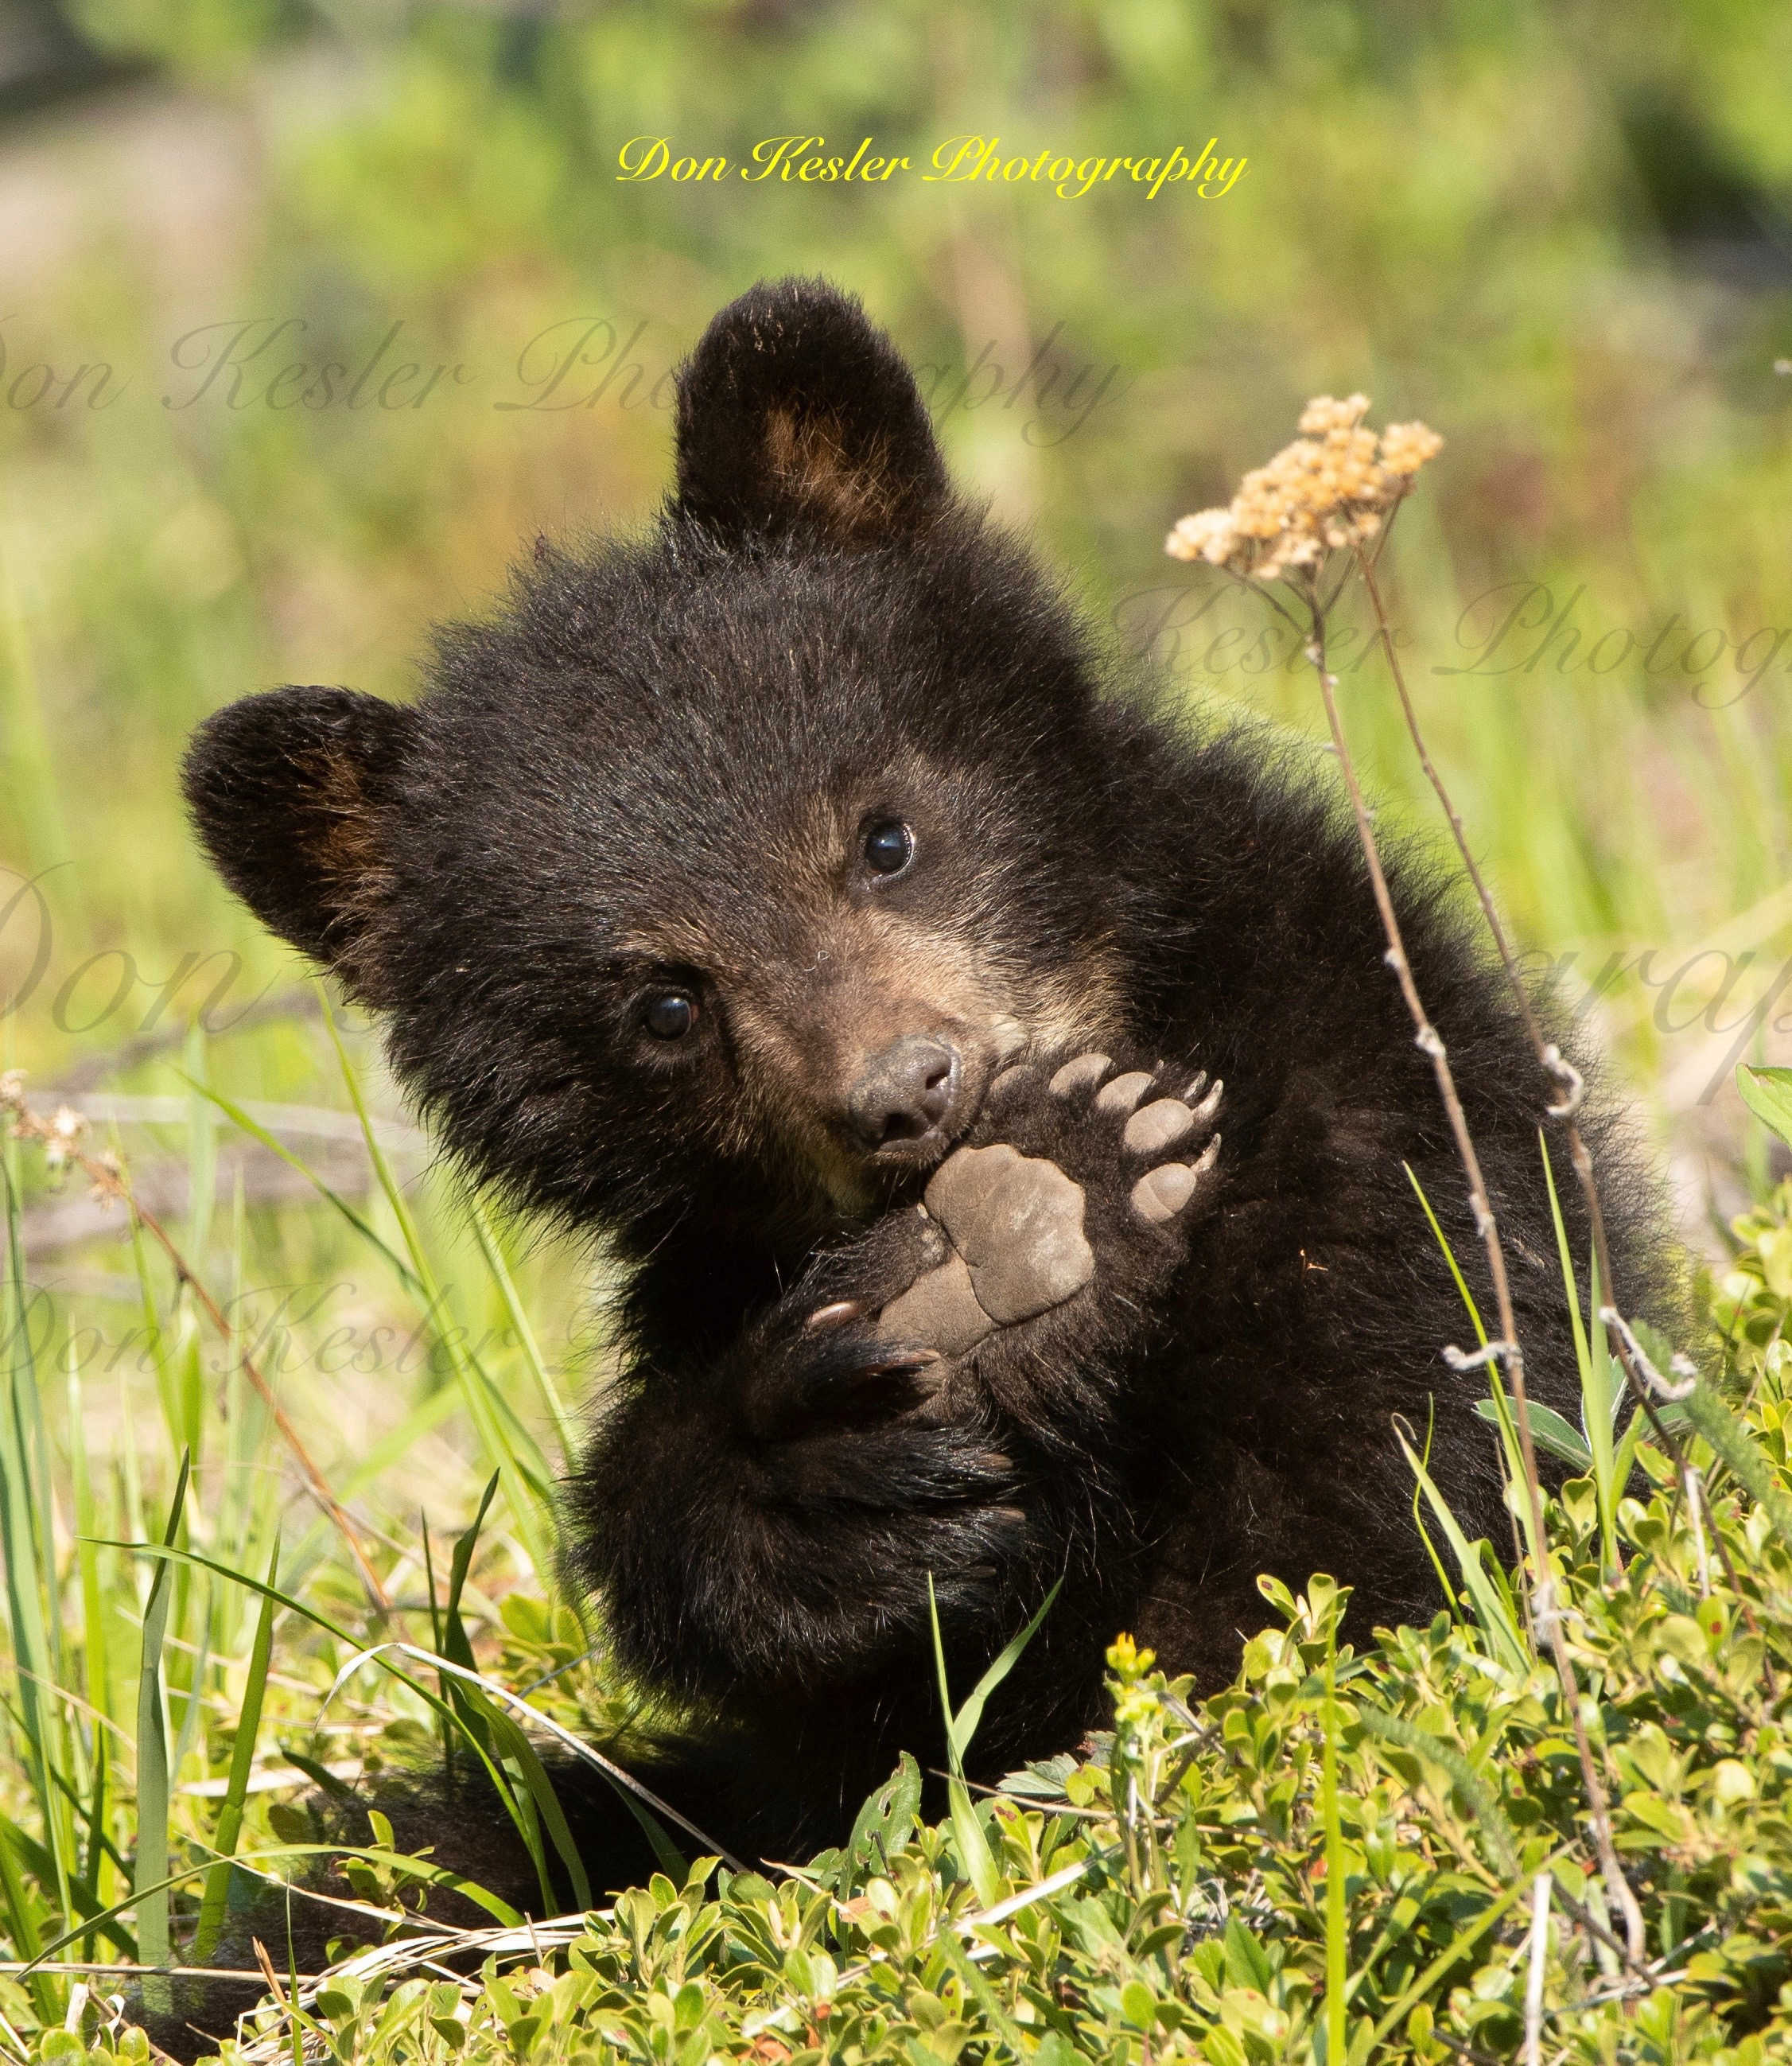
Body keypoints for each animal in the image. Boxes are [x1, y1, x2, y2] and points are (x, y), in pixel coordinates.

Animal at [162, 276, 1672, 2054]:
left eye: (881, 834)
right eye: (662, 1000)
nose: (910, 1095)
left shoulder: (1353, 1068)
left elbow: (1404, 1435)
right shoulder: (710, 1285)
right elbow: (770, 1638)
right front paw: (855, 1437)